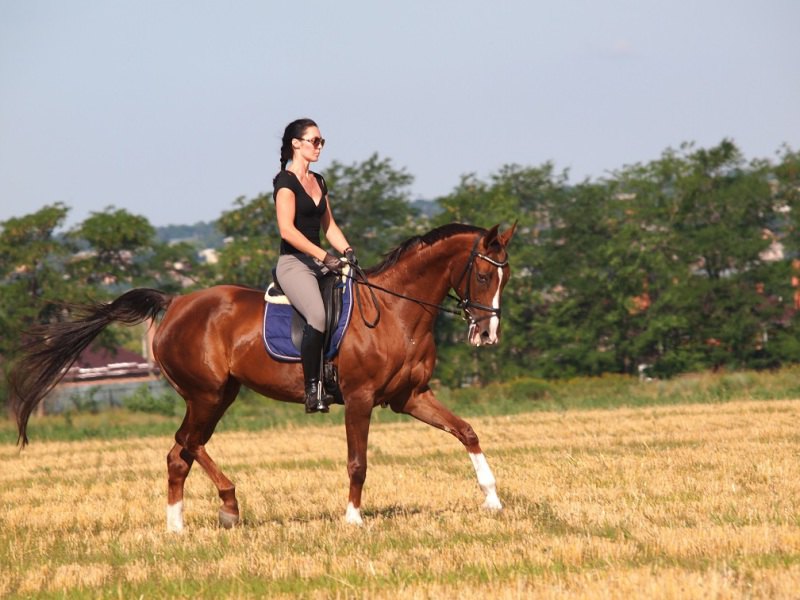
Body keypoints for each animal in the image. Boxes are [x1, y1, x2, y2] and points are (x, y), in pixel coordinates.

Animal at [12, 223, 520, 532]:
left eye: (507, 276)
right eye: (481, 275)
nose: (488, 333)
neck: (395, 310)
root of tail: (174, 303)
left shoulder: (411, 396)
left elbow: (467, 432)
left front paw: (492, 500)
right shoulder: (359, 399)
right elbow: (357, 461)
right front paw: (353, 520)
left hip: (219, 396)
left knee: (180, 453)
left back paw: (178, 525)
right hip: (207, 394)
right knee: (187, 443)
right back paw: (229, 505)